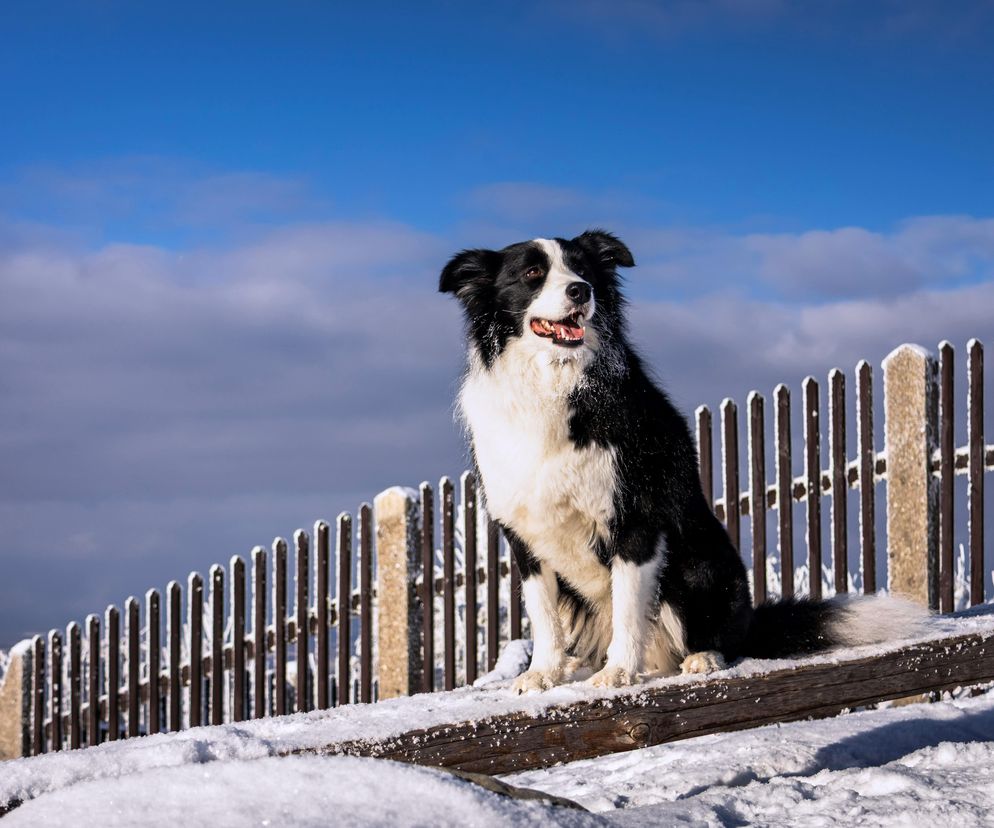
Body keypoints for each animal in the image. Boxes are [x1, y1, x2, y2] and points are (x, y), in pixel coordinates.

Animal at [438, 228, 920, 692]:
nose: (581, 291)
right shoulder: (525, 534)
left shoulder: (636, 520)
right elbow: (543, 614)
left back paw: (702, 657)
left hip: (701, 565)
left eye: (583, 270)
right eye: (533, 273)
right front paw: (542, 673)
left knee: (721, 637)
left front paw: (617, 673)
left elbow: (628, 607)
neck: (553, 381)